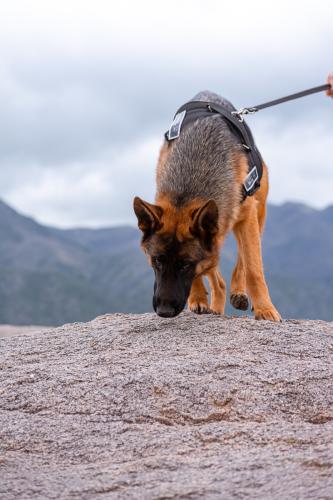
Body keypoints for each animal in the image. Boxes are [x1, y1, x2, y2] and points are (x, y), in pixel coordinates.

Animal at [132, 91, 280, 320]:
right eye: (156, 260)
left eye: (185, 264)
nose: (164, 311)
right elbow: (203, 271)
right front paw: (199, 297)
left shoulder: (247, 216)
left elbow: (253, 268)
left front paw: (264, 308)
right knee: (217, 277)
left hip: (257, 214)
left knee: (241, 260)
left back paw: (238, 292)